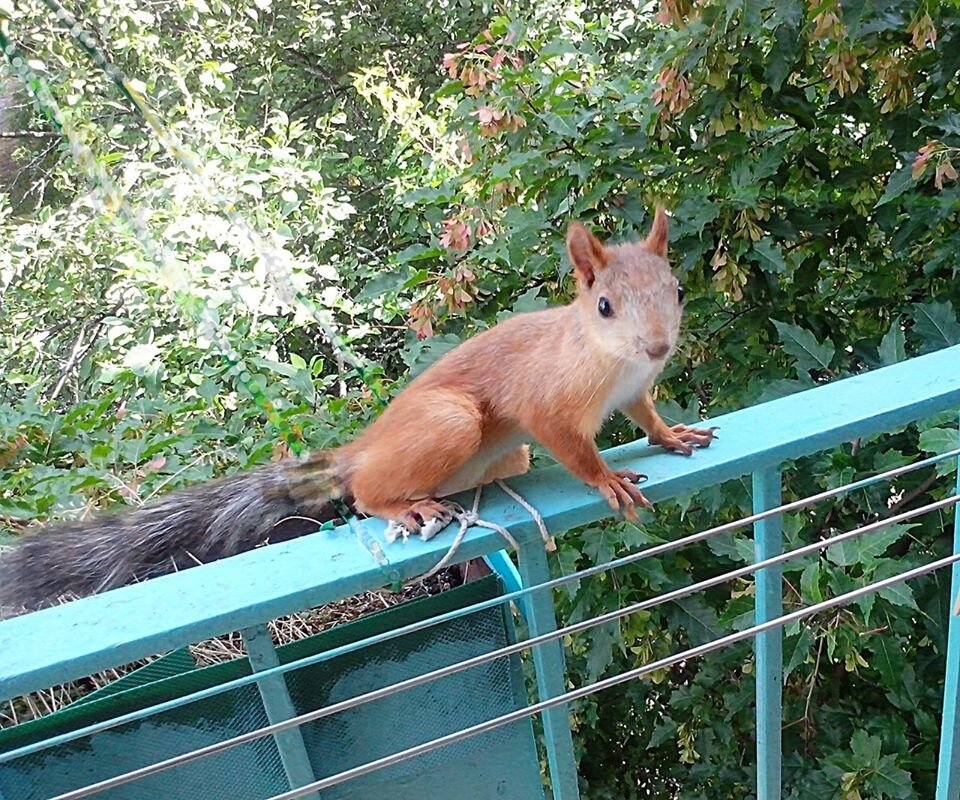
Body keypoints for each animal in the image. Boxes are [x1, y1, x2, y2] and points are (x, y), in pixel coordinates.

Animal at [0, 208, 712, 612]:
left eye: (676, 290)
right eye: (604, 306)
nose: (658, 346)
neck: (612, 363)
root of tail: (358, 449)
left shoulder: (635, 390)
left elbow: (647, 418)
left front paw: (674, 435)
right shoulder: (550, 403)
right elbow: (573, 447)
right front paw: (607, 479)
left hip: (500, 454)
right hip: (450, 424)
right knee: (368, 492)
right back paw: (404, 505)